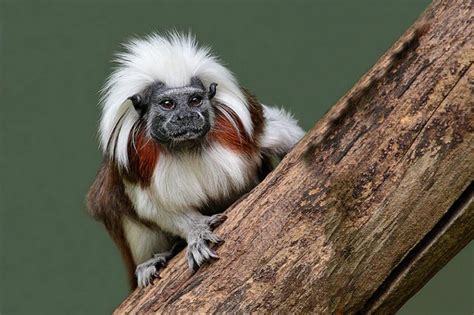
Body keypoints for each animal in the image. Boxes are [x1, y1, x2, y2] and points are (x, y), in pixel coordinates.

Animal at [86, 33, 306, 290]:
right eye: (168, 104)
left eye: (194, 100)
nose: (185, 117)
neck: (187, 147)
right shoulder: (133, 164)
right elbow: (153, 208)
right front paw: (196, 232)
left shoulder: (249, 130)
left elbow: (287, 137)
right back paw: (157, 258)